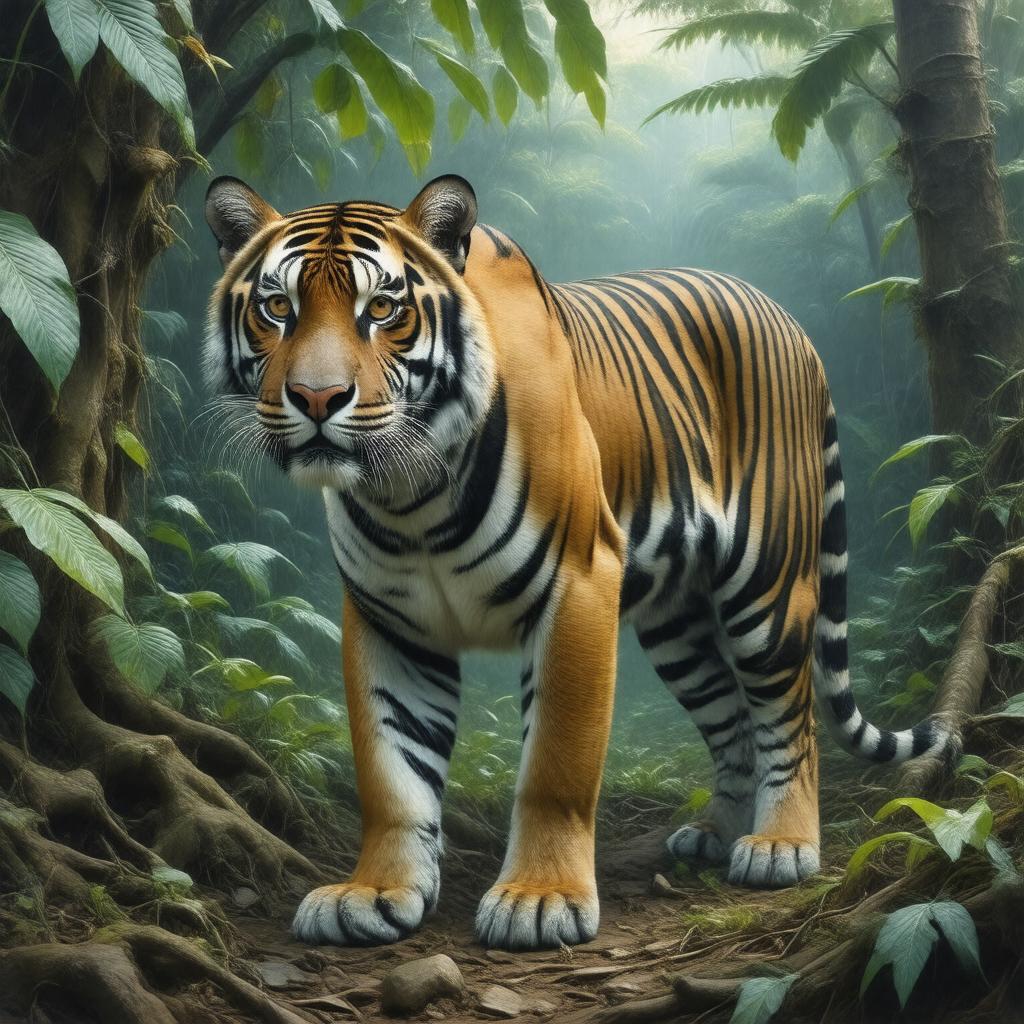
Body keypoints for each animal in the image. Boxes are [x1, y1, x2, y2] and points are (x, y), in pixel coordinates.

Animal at [202, 173, 947, 952]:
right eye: (277, 307)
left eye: (382, 309)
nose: (317, 398)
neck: (409, 494)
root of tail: (791, 323)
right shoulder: (387, 621)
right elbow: (391, 771)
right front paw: (375, 892)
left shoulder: (578, 584)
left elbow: (556, 763)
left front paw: (540, 898)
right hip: (677, 627)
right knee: (731, 721)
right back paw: (713, 833)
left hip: (767, 589)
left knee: (788, 716)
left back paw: (781, 847)